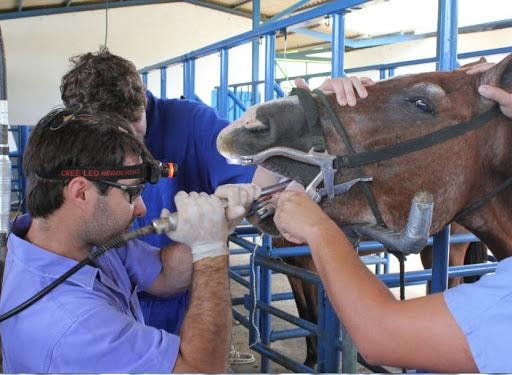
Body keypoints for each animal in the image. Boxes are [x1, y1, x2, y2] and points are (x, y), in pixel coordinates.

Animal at [220, 54, 512, 368]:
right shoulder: (293, 269)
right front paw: (310, 359)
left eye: (422, 103)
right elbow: (303, 313)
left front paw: (314, 360)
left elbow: (314, 316)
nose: (249, 123)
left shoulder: (311, 269)